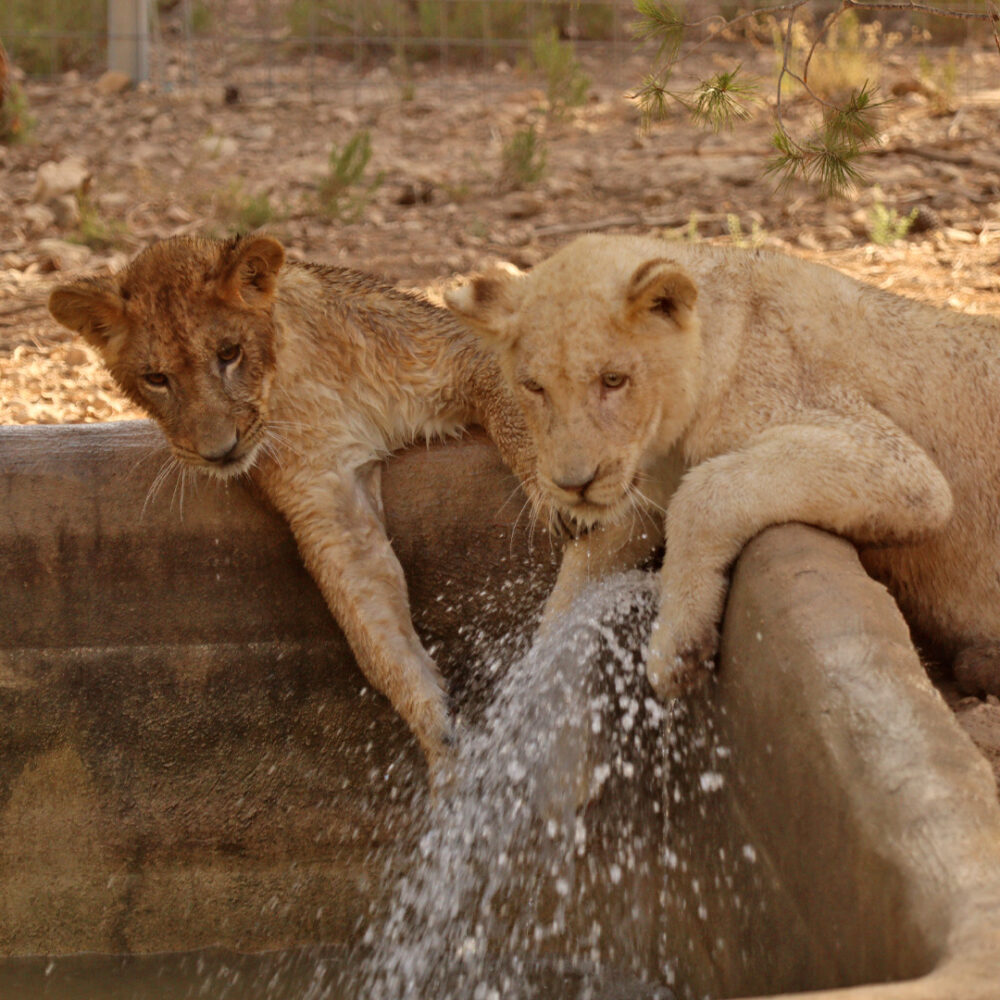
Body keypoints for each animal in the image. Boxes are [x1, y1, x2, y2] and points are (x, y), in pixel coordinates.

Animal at [48, 233, 535, 780]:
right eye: (156, 378)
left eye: (229, 353)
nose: (218, 451)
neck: (294, 386)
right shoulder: (325, 501)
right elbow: (376, 633)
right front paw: (443, 740)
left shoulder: (460, 348)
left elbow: (520, 422)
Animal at [447, 232, 1000, 701]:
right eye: (533, 387)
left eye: (613, 379)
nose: (573, 485)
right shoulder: (644, 480)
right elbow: (580, 571)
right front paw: (532, 683)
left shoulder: (902, 468)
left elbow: (704, 492)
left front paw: (676, 651)